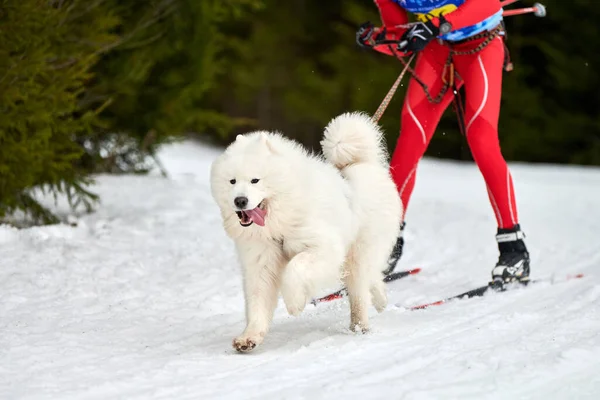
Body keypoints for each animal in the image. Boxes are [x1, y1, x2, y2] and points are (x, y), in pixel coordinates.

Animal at [209, 111, 400, 352]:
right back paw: (380, 300)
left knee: (359, 291)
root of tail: (361, 164)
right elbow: (257, 302)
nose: (240, 200)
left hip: (359, 252)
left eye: (255, 180)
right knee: (371, 278)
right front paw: (249, 338)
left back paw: (360, 325)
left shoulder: (324, 247)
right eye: (232, 181)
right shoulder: (261, 262)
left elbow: (295, 268)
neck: (279, 221)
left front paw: (295, 304)